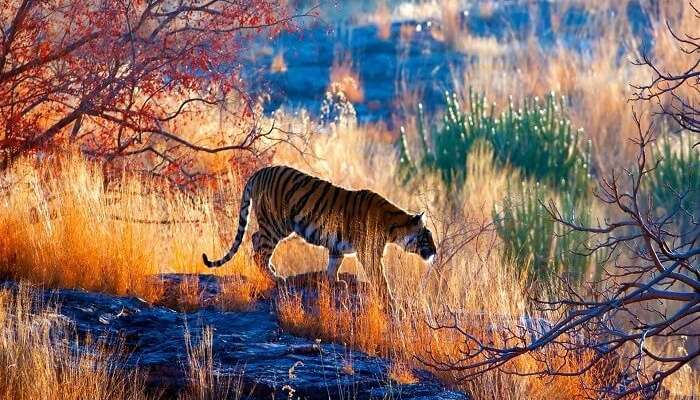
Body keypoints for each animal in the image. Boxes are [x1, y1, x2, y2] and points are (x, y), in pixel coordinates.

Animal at [200, 164, 434, 304]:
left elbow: (333, 265)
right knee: (259, 250)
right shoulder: (370, 254)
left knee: (255, 240)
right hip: (276, 224)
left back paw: (273, 270)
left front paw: (335, 282)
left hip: (273, 225)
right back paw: (276, 277)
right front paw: (391, 300)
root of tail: (259, 172)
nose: (434, 252)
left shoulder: (337, 247)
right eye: (427, 238)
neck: (394, 226)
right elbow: (380, 278)